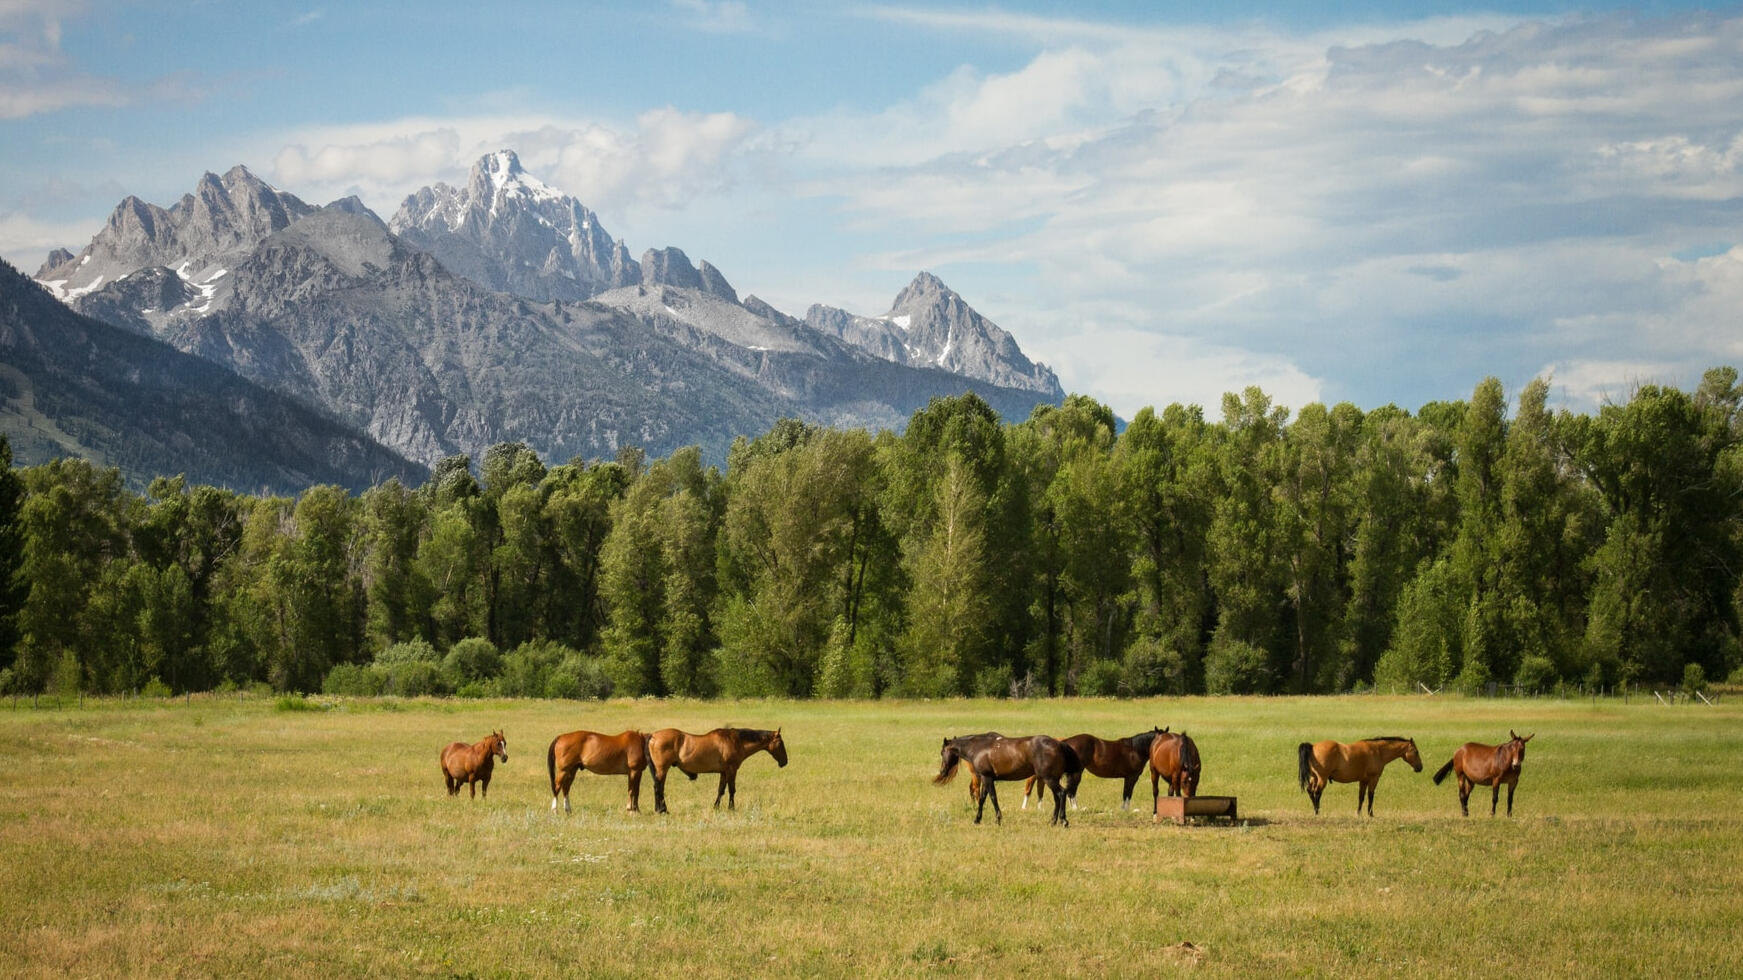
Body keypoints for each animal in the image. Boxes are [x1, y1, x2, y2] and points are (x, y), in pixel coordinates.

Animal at [648, 727, 787, 813]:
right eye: (781, 743)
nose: (785, 762)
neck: (736, 741)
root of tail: (653, 736)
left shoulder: (724, 772)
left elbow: (721, 790)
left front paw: (716, 807)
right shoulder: (732, 770)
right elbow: (732, 790)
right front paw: (731, 808)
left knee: (658, 788)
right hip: (662, 770)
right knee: (658, 788)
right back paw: (662, 810)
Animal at [934, 734, 1080, 827]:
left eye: (942, 752)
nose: (942, 771)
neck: (978, 748)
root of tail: (1059, 743)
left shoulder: (987, 778)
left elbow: (993, 798)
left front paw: (998, 820)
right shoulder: (986, 779)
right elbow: (982, 799)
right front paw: (977, 820)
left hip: (1049, 779)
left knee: (1061, 793)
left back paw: (1063, 821)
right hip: (1052, 779)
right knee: (1057, 798)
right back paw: (1053, 821)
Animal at [1022, 727, 1169, 811]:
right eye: (1161, 739)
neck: (1134, 749)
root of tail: (1065, 742)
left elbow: (1126, 793)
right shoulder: (1131, 777)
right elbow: (1127, 793)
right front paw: (1126, 809)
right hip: (1076, 773)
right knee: (1071, 791)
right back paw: (1075, 808)